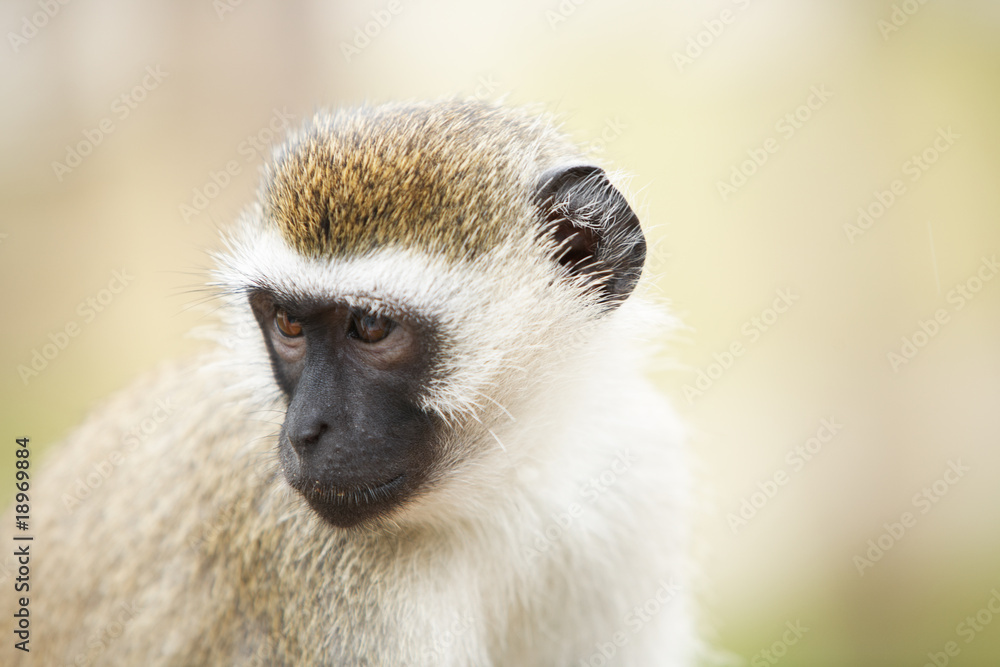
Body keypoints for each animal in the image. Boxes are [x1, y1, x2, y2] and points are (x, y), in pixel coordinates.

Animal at [2, 99, 697, 666]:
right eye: (288, 322)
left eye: (370, 326)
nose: (304, 432)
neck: (504, 488)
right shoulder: (323, 578)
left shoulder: (639, 478)